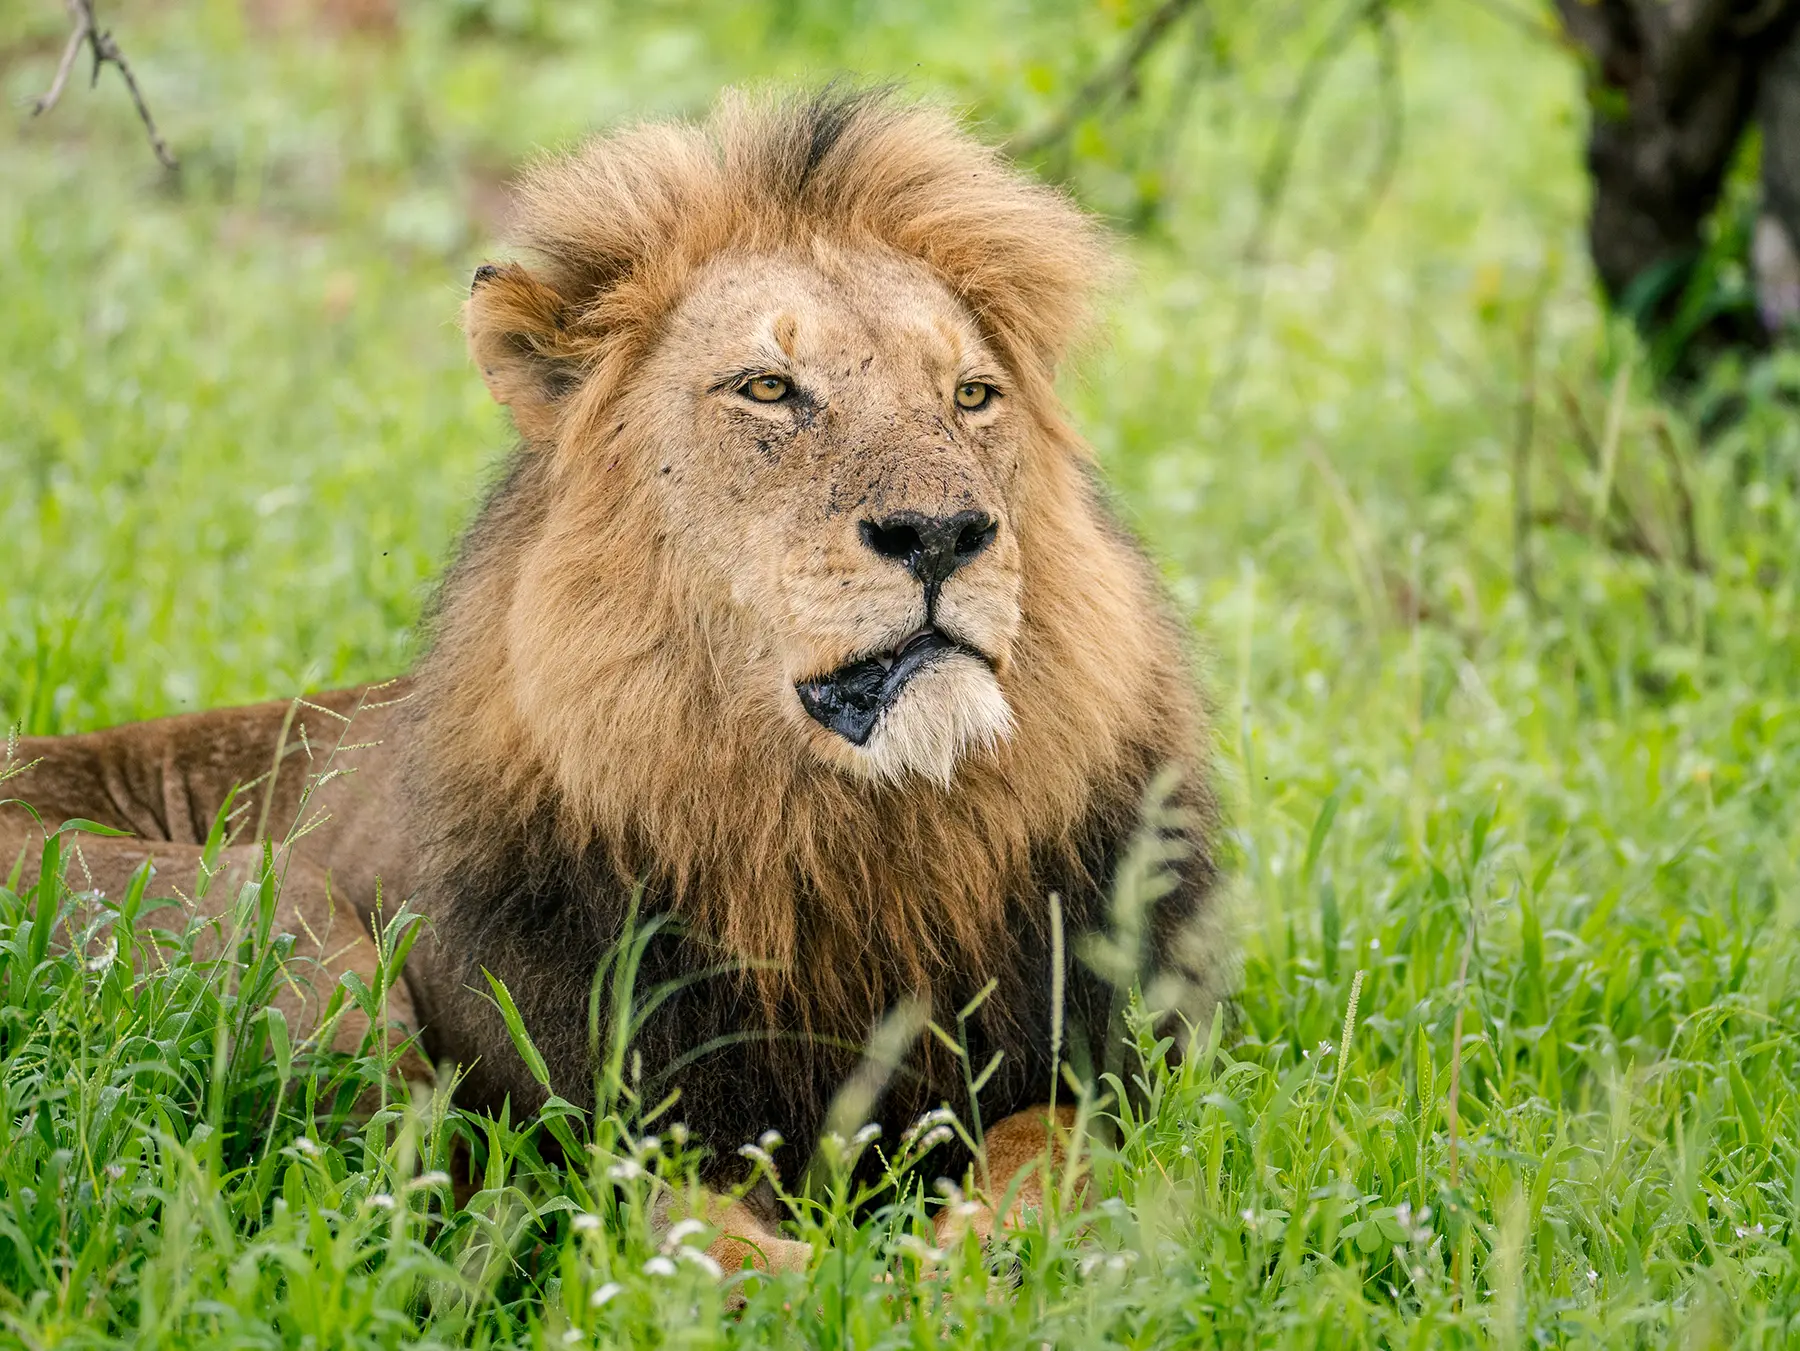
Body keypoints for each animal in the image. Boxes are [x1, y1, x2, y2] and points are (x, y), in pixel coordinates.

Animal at [1, 88, 1223, 1272]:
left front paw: (989, 1254)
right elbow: (683, 1230)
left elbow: (1055, 1141)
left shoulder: (1105, 1059)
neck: (846, 842)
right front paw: (827, 1282)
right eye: (769, 388)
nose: (943, 533)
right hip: (288, 926)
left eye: (972, 395)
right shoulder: (601, 1113)